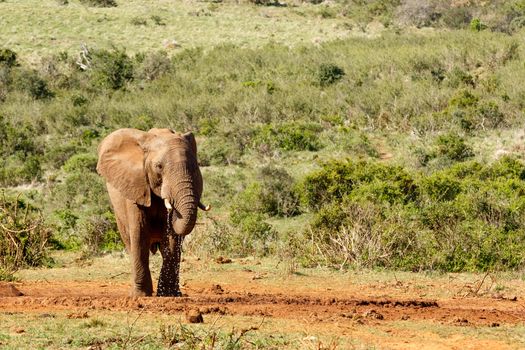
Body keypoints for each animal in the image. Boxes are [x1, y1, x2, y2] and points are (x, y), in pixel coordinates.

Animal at [97, 127, 208, 296]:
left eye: (195, 167)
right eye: (159, 167)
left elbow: (171, 238)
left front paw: (168, 295)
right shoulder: (135, 186)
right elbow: (140, 232)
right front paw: (141, 295)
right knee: (130, 243)